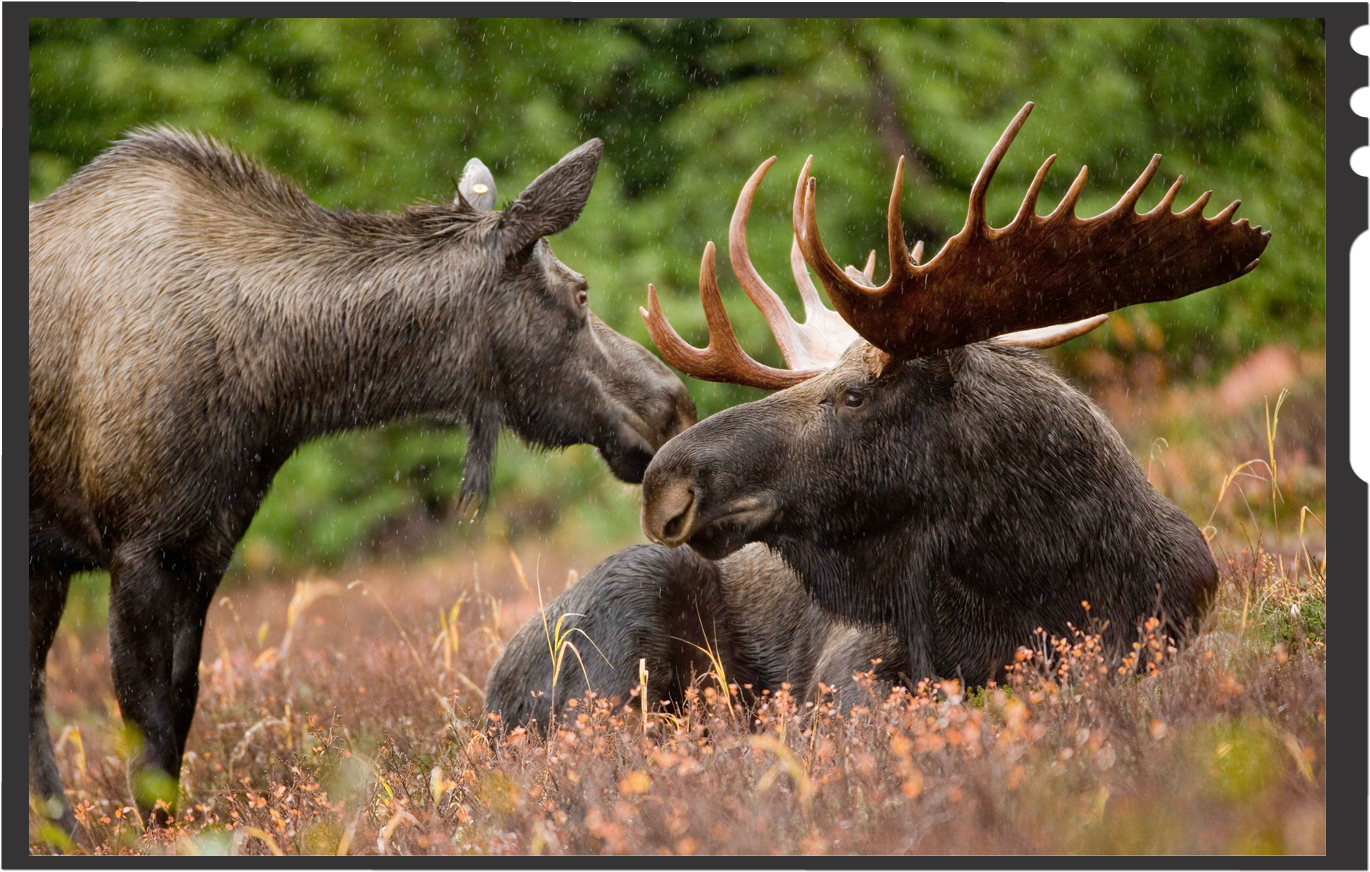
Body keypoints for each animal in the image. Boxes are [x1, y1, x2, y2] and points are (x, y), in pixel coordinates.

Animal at [29, 130, 697, 839]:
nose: (674, 405)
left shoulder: (205, 547)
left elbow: (180, 712)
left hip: (45, 565)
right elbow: (147, 734)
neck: (277, 388)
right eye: (581, 293)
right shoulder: (138, 547)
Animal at [484, 102, 1269, 730]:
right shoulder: (853, 664)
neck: (1039, 575)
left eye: (855, 394)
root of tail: (488, 696)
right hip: (624, 624)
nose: (665, 483)